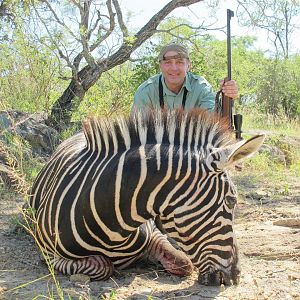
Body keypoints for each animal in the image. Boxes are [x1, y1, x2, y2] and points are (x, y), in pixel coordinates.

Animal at [27, 108, 262, 286]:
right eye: (231, 201)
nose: (235, 276)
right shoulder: (50, 256)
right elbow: (103, 265)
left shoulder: (155, 234)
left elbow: (183, 262)